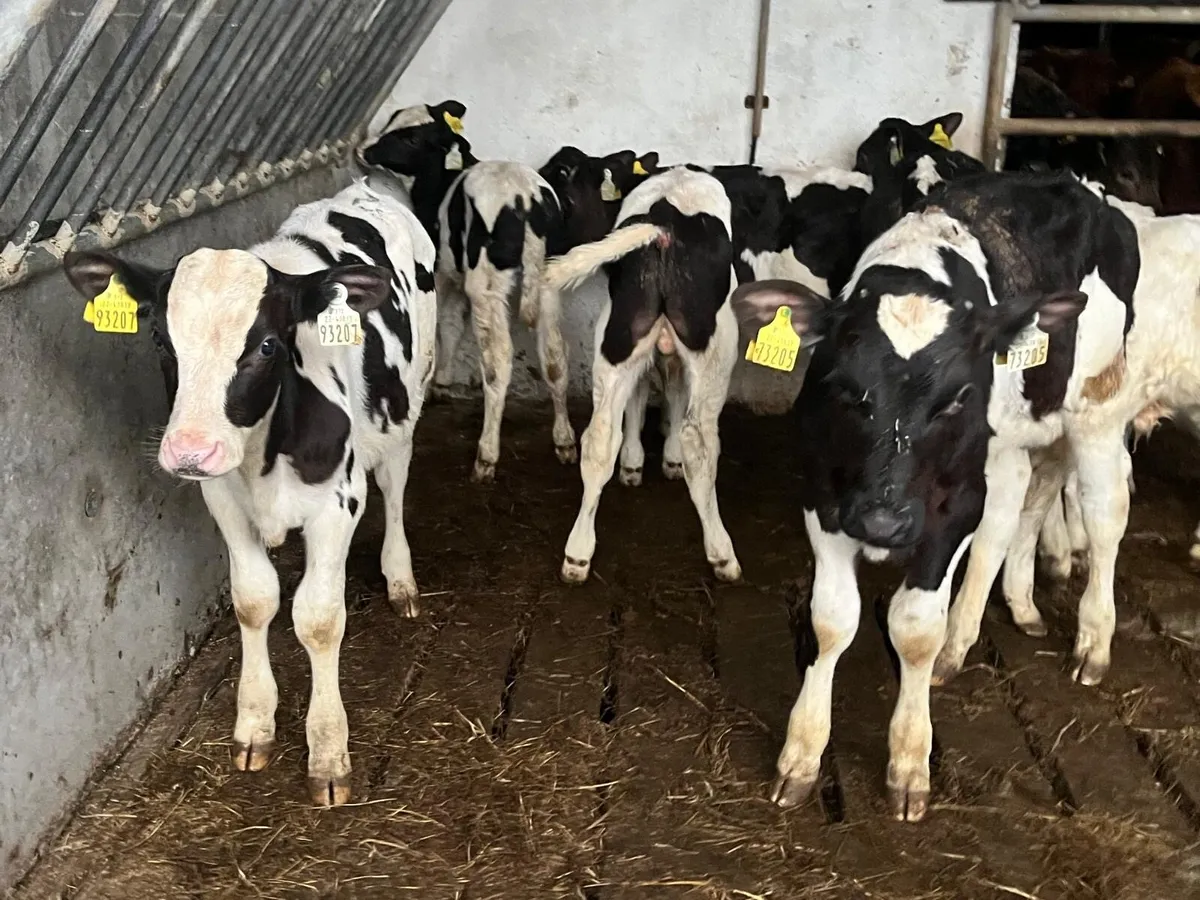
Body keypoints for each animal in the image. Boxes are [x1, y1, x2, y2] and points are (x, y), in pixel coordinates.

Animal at [62, 176, 438, 807]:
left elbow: (318, 618)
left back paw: (400, 578)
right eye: (160, 339)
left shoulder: (339, 502)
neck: (266, 453)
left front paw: (328, 752)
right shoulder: (222, 500)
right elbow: (254, 599)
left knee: (397, 480)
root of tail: (361, 187)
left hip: (407, 402)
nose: (191, 450)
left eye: (265, 346)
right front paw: (255, 723)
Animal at [357, 100, 575, 482]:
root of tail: (526, 198)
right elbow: (453, 325)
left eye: (411, 138)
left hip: (486, 286)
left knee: (498, 363)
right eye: (394, 118)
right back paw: (564, 441)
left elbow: (445, 325)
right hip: (549, 284)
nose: (363, 148)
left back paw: (486, 456)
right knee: (554, 358)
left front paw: (438, 384)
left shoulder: (444, 273)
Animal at [543, 166, 744, 584]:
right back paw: (722, 553)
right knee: (699, 441)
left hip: (616, 337)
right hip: (716, 349)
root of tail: (664, 226)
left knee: (600, 438)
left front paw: (635, 463)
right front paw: (668, 459)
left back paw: (577, 555)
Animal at [728, 169, 1139, 821]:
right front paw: (802, 754)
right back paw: (972, 634)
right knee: (1011, 514)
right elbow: (832, 620)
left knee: (1104, 515)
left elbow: (916, 627)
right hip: (1009, 443)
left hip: (1099, 406)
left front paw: (908, 762)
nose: (884, 523)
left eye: (956, 397)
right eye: (844, 388)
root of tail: (1084, 185)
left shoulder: (951, 507)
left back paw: (1093, 643)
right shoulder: (823, 493)